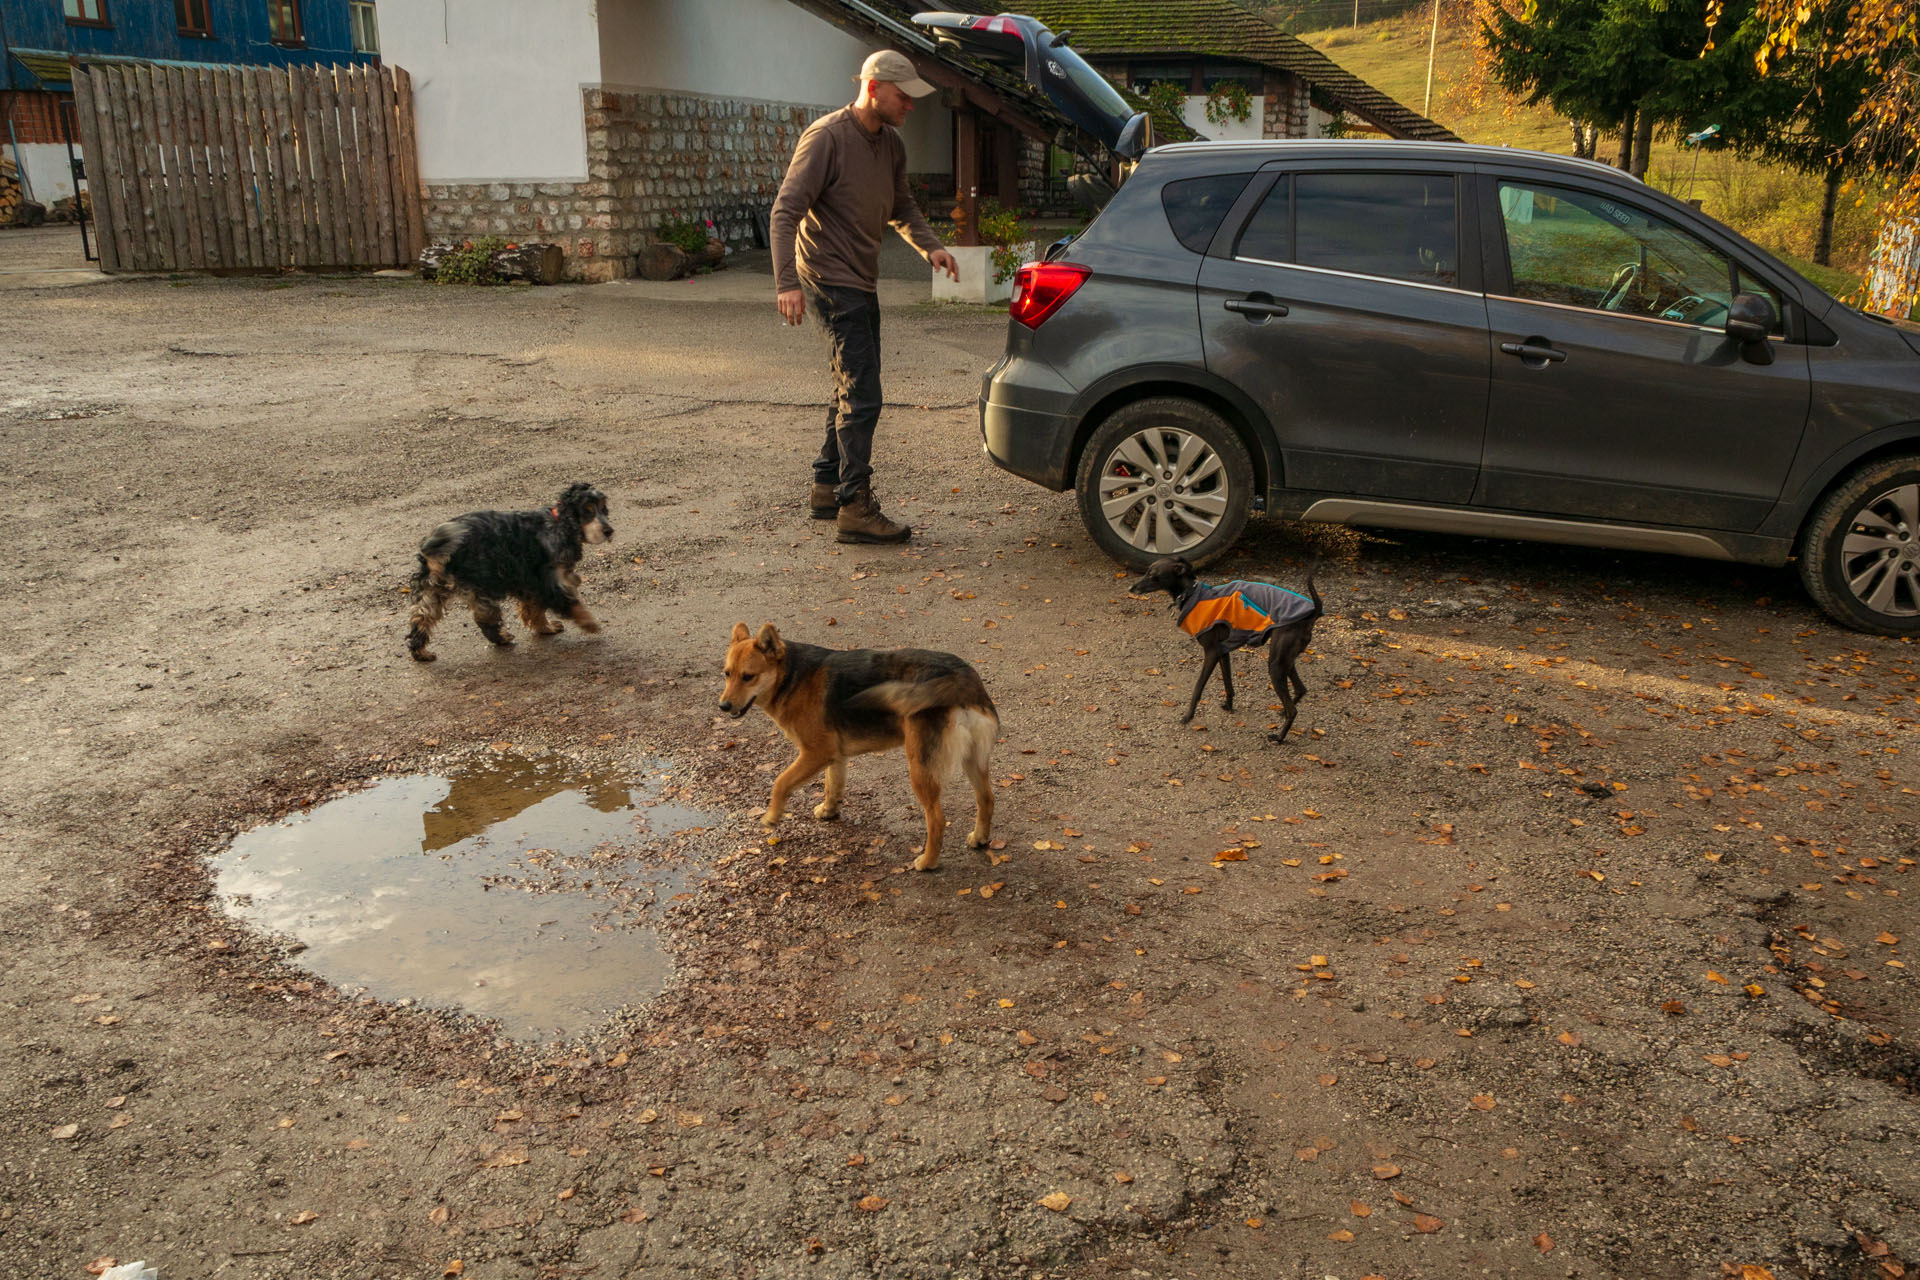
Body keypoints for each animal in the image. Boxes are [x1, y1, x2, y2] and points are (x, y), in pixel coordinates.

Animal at [405, 479, 614, 660]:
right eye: (587, 511)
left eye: (603, 509)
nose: (609, 531)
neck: (558, 524)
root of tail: (437, 546)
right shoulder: (547, 581)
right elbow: (570, 603)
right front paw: (589, 623)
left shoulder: (530, 584)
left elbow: (535, 609)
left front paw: (546, 627)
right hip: (483, 583)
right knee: (484, 618)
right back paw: (502, 638)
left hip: (433, 587)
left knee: (421, 617)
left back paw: (421, 652)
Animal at [714, 625, 998, 875]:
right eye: (727, 674)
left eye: (748, 676)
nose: (723, 706)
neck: (791, 677)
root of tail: (961, 676)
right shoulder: (834, 756)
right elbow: (832, 785)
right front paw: (829, 811)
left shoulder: (814, 753)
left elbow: (780, 783)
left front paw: (772, 815)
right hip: (973, 761)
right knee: (986, 798)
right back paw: (980, 837)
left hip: (920, 770)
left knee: (937, 820)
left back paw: (927, 862)